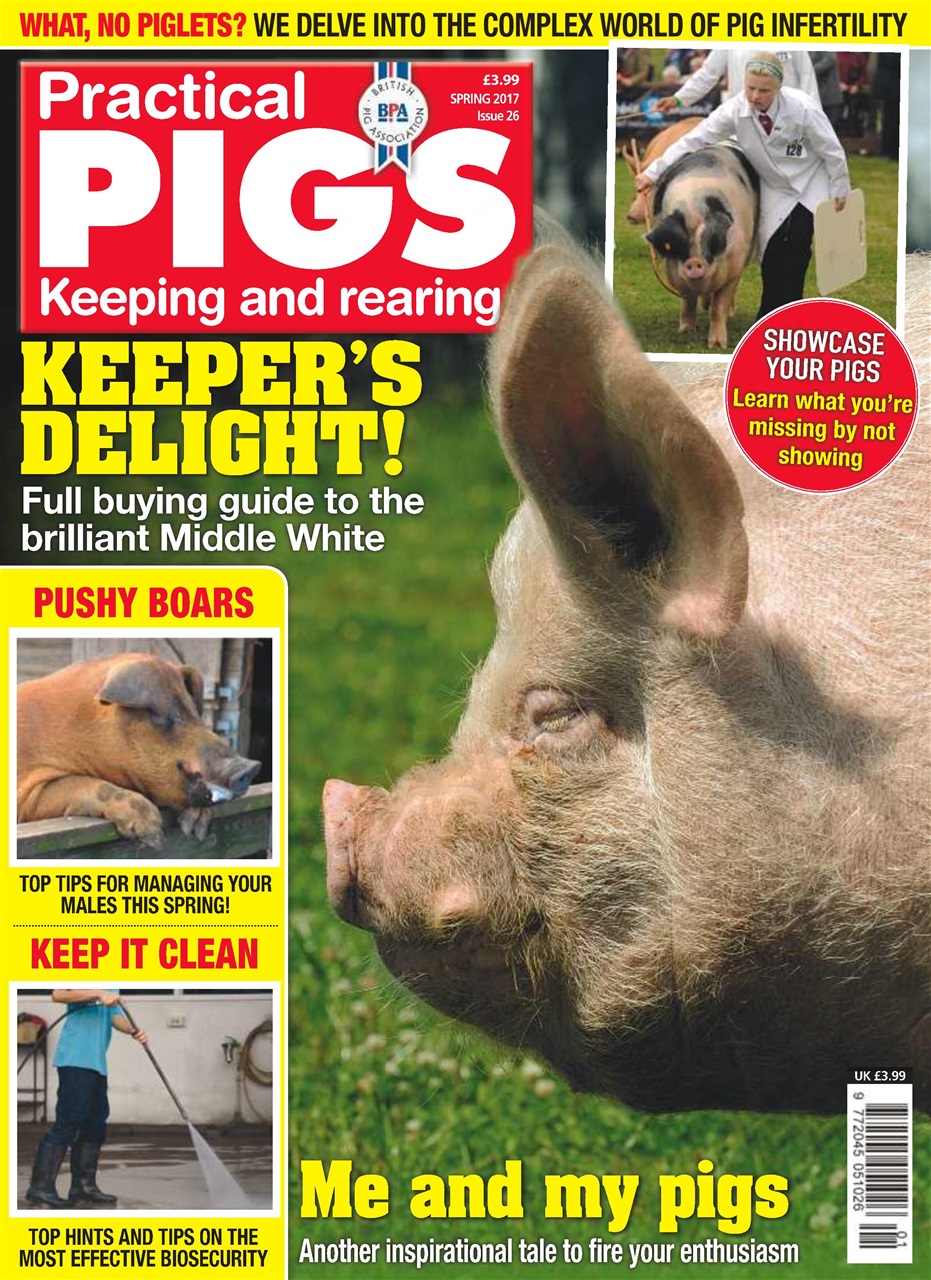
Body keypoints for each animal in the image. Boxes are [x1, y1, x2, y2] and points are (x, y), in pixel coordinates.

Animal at [17, 653, 261, 847]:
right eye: (164, 716)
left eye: (194, 713)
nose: (250, 767)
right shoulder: (24, 796)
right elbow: (80, 783)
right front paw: (154, 835)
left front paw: (194, 829)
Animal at [645, 145, 759, 348]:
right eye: (679, 243)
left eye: (714, 241)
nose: (694, 262)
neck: (694, 207)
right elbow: (688, 299)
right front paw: (685, 330)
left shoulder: (735, 265)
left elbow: (719, 307)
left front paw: (718, 345)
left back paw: (728, 312)